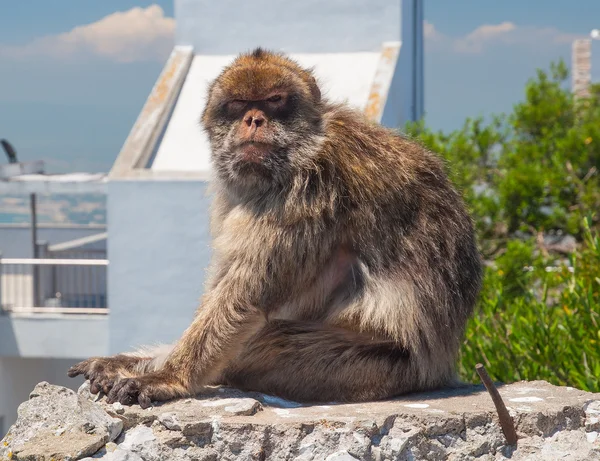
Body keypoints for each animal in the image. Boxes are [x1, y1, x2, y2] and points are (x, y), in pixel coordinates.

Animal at [70, 47, 482, 406]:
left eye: (274, 100)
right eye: (238, 104)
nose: (254, 120)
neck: (301, 151)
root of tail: (439, 367)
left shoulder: (308, 192)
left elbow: (244, 296)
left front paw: (168, 377)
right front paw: (137, 365)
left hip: (374, 369)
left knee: (267, 341)